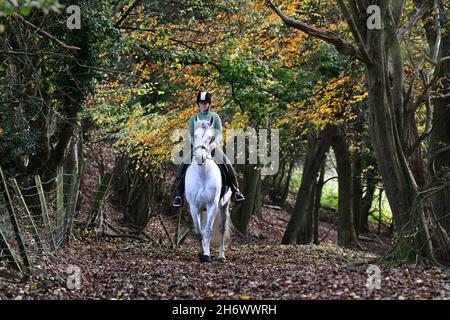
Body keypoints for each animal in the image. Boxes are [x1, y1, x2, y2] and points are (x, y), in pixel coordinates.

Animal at [185, 115, 232, 262]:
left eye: (210, 137)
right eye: (195, 135)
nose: (200, 158)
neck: (202, 176)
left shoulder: (212, 205)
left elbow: (207, 231)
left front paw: (206, 255)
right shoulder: (193, 206)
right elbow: (199, 232)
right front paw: (202, 253)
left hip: (224, 206)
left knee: (221, 229)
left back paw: (221, 255)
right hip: (202, 209)